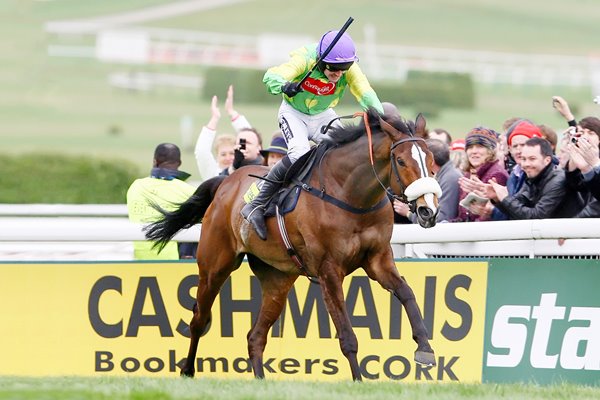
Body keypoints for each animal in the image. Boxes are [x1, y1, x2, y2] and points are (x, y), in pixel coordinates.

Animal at [145, 108, 442, 382]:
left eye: (431, 159)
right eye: (401, 160)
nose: (428, 210)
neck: (352, 196)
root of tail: (226, 182)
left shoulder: (378, 259)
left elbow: (407, 293)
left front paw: (425, 348)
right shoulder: (328, 270)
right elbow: (346, 335)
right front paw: (358, 380)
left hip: (277, 278)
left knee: (255, 336)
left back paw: (260, 380)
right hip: (214, 265)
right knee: (199, 319)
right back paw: (187, 370)